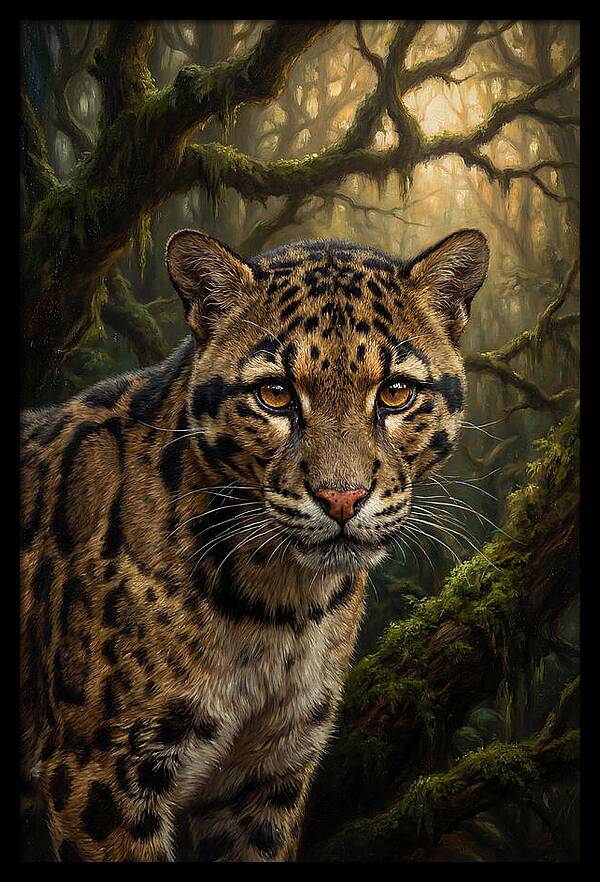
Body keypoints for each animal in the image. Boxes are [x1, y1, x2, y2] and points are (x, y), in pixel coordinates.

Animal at [20, 227, 489, 861]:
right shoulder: (100, 772)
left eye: (395, 394)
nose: (342, 498)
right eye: (275, 394)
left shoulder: (268, 773)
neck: (280, 605)